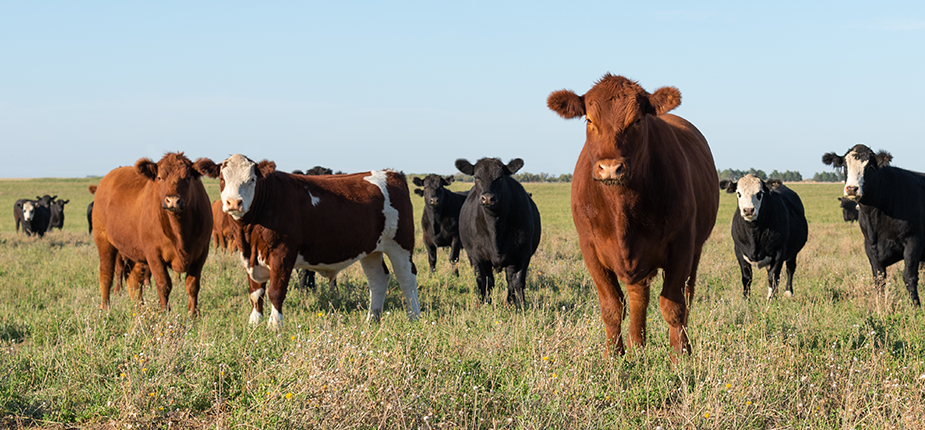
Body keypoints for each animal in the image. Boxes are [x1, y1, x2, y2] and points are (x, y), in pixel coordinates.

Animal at [92, 152, 213, 315]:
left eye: (187, 177)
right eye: (160, 177)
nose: (172, 201)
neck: (180, 230)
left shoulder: (201, 253)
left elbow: (192, 285)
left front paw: (193, 314)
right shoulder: (154, 255)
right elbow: (164, 285)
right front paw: (165, 313)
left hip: (134, 251)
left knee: (133, 279)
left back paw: (139, 309)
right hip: (104, 241)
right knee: (106, 275)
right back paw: (105, 309)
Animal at [197, 154, 421, 329]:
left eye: (252, 179)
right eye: (222, 178)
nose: (234, 202)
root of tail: (392, 173)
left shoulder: (282, 253)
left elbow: (275, 291)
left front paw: (274, 325)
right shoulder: (249, 257)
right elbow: (255, 292)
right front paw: (254, 322)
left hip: (400, 245)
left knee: (407, 279)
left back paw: (414, 317)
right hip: (371, 249)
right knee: (378, 279)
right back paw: (372, 319)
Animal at [455, 158, 541, 304]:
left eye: (500, 177)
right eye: (476, 177)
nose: (488, 198)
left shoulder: (523, 253)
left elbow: (517, 282)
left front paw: (520, 305)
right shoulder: (478, 255)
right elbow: (484, 282)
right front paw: (484, 304)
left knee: (510, 280)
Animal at [547, 74, 719, 358]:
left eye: (637, 120)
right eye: (589, 120)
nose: (610, 168)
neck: (621, 208)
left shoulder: (682, 245)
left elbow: (673, 306)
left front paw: (679, 357)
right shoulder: (590, 248)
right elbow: (612, 307)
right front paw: (613, 357)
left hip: (695, 250)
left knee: (686, 295)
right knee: (639, 295)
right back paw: (636, 345)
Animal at [822, 144, 925, 306]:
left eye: (869, 167)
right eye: (845, 166)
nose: (852, 189)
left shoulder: (913, 241)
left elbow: (909, 277)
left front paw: (916, 308)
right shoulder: (870, 246)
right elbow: (879, 279)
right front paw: (880, 306)